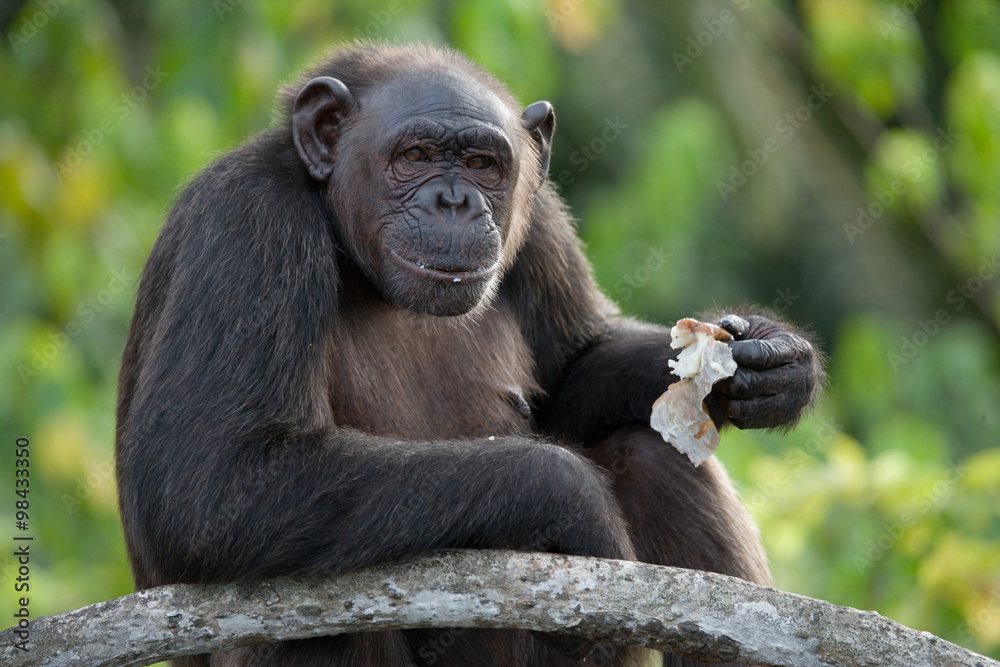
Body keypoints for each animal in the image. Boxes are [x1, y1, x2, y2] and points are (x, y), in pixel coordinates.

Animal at [115, 43, 820, 667]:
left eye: (483, 164)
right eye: (415, 156)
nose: (453, 200)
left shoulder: (542, 223)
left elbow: (575, 368)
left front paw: (771, 360)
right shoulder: (244, 223)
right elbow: (210, 479)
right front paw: (574, 503)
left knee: (653, 451)